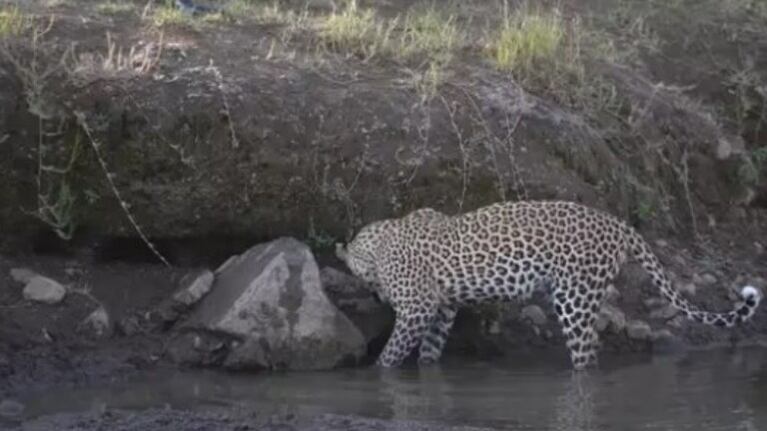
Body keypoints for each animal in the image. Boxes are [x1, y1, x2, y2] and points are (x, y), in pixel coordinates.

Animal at [336, 199, 760, 372]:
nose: (374, 295)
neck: (377, 242)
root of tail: (618, 223)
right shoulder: (442, 309)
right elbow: (429, 350)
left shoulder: (418, 308)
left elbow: (391, 354)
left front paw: (377, 375)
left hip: (575, 297)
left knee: (587, 351)